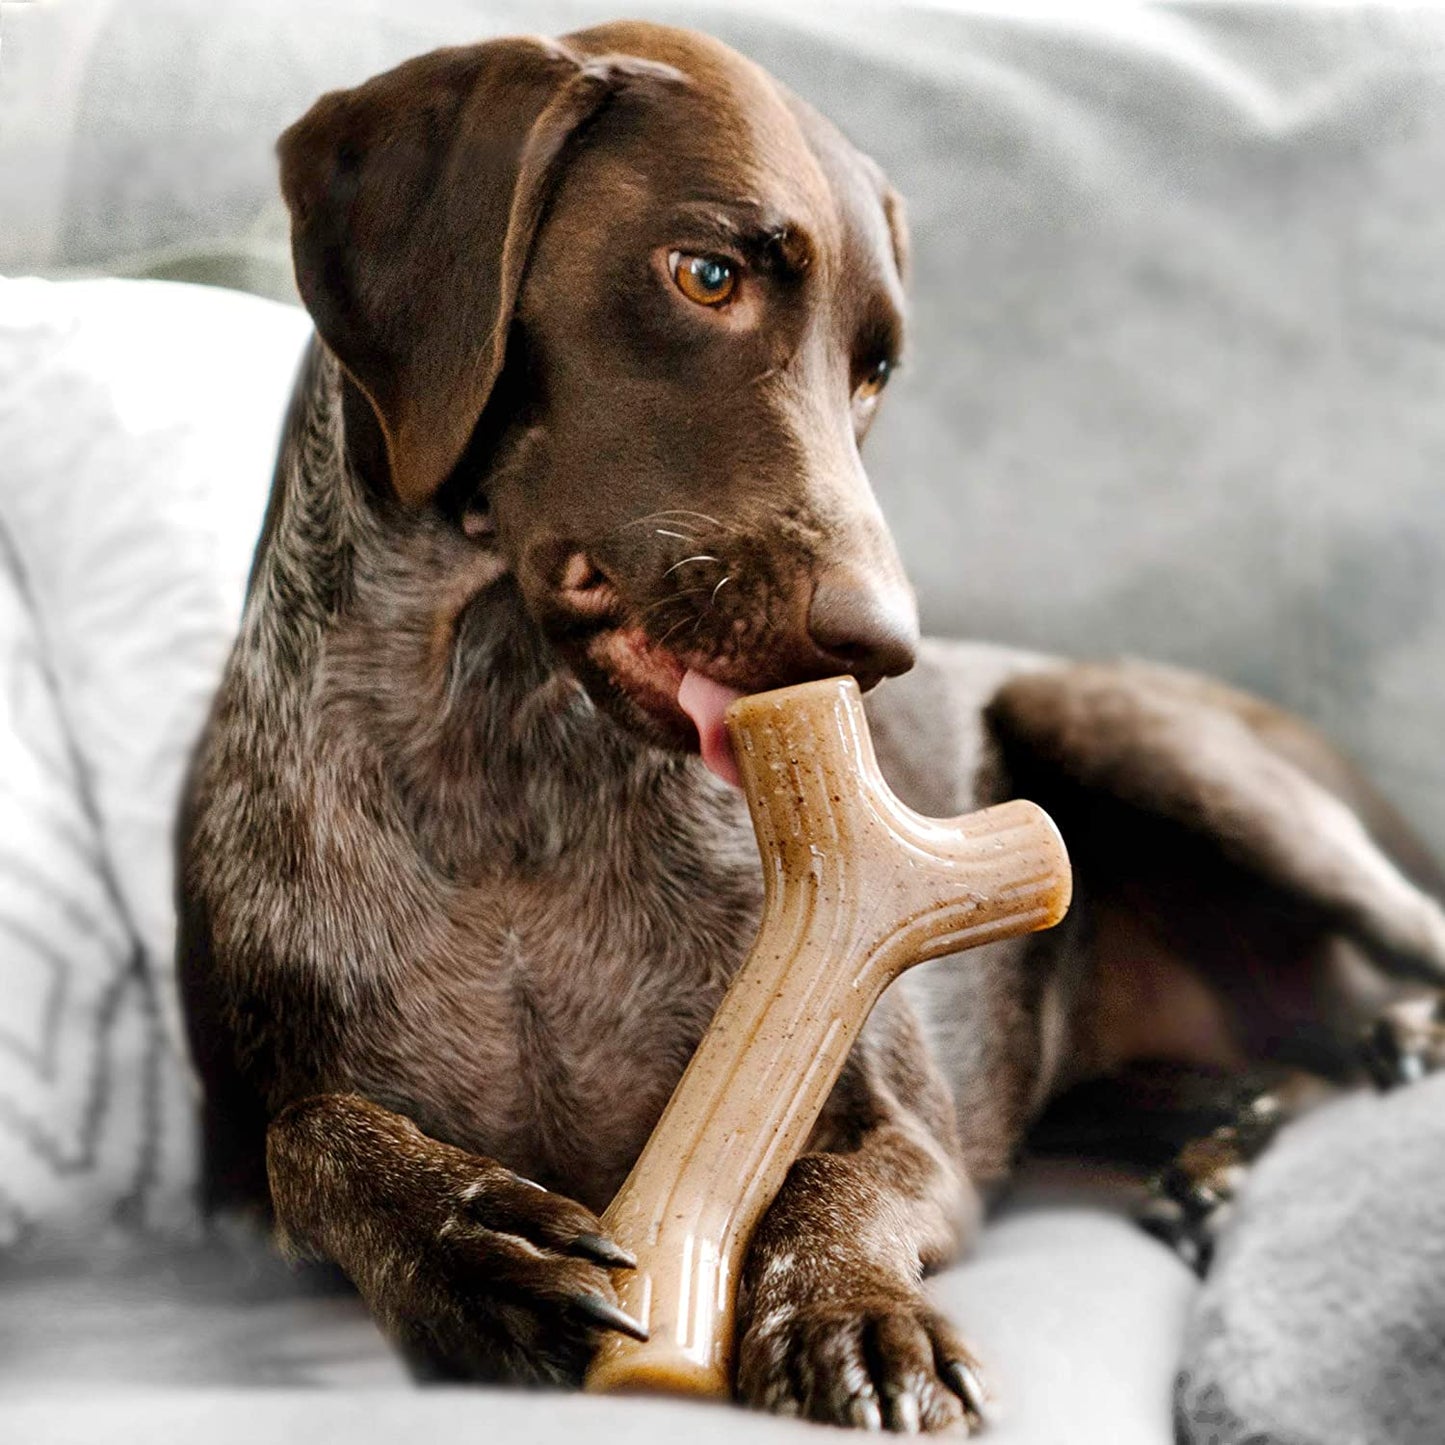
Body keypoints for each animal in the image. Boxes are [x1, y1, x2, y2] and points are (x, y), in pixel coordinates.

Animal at [177, 22, 1445, 1433]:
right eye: (705, 274)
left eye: (874, 369)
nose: (885, 644)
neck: (502, 763)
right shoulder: (236, 1176)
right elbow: (308, 1144)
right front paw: (467, 1239)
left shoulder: (911, 1132)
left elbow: (821, 1187)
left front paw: (851, 1315)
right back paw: (1218, 1143)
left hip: (1127, 732)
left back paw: (1385, 1044)